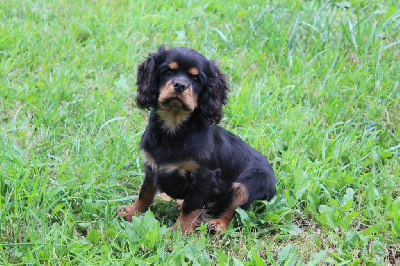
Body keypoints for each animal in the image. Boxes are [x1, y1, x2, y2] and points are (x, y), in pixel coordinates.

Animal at [117, 46, 276, 233]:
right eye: (167, 72)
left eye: (196, 78)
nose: (180, 85)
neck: (174, 125)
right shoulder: (152, 166)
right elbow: (145, 193)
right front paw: (131, 211)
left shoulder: (203, 177)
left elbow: (191, 206)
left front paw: (179, 231)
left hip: (251, 181)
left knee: (234, 210)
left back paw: (218, 224)